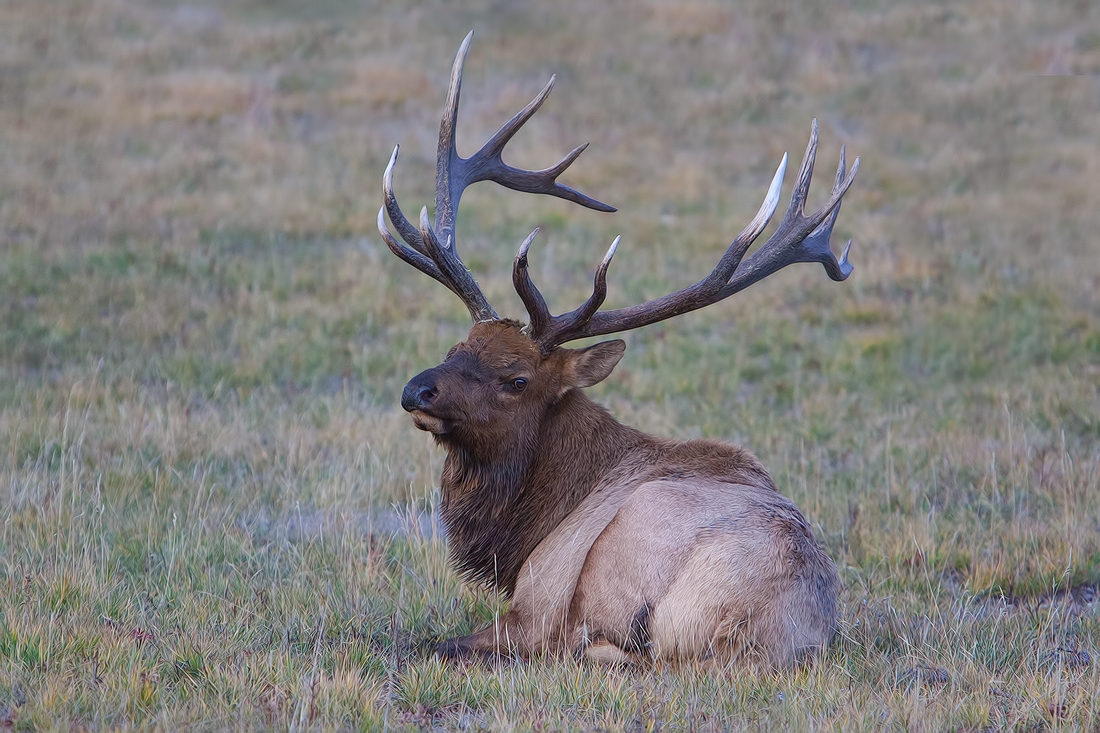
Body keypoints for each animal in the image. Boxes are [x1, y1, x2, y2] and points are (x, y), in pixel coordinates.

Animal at [380, 31, 858, 664]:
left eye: (517, 379)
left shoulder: (534, 601)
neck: (528, 527)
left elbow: (433, 640)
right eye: (460, 346)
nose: (417, 390)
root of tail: (754, 630)